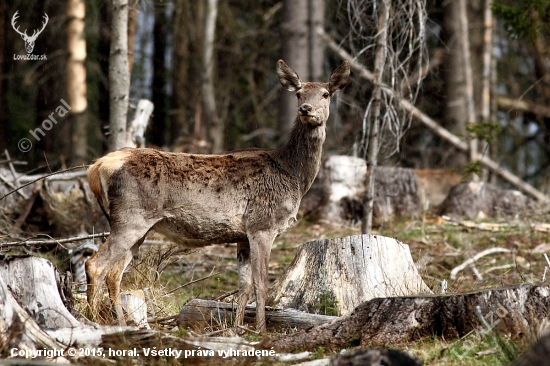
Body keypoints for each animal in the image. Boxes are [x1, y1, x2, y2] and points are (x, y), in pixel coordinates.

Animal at [86, 59, 354, 332]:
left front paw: (237, 328)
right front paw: (261, 330)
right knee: (95, 265)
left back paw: (119, 323)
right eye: (299, 93)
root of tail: (98, 166)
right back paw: (92, 320)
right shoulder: (262, 224)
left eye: (326, 94)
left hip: (138, 226)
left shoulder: (243, 235)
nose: (306, 109)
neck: (293, 175)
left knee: (114, 273)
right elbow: (261, 285)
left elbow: (244, 287)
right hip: (131, 217)